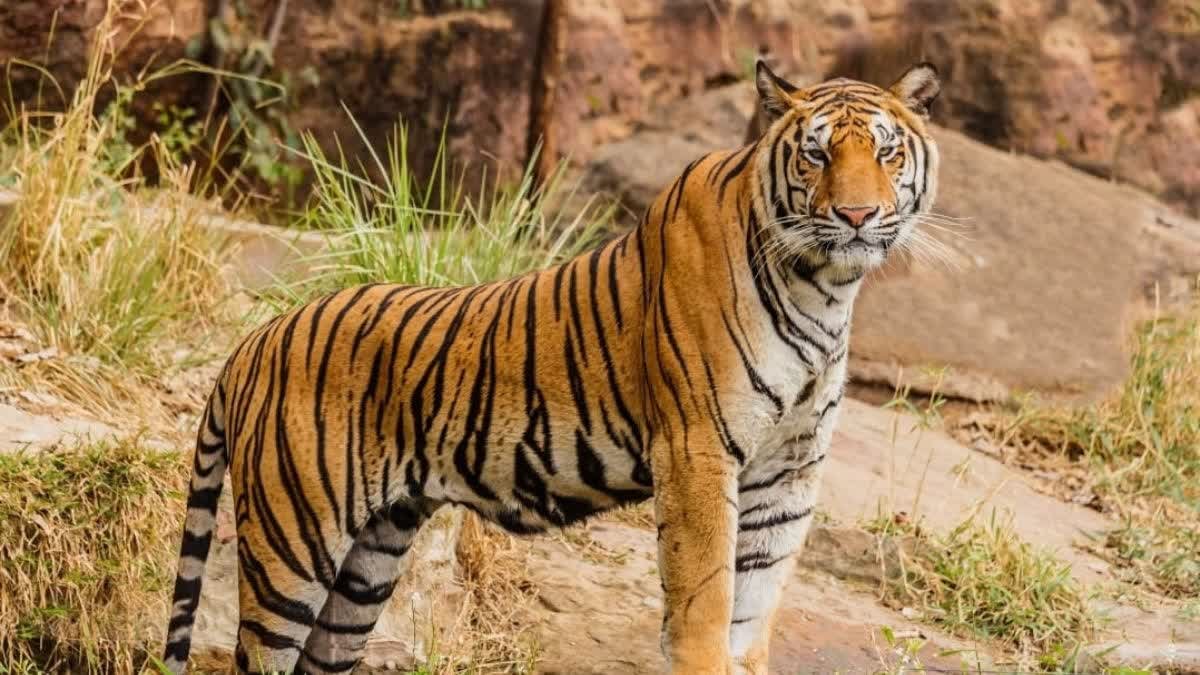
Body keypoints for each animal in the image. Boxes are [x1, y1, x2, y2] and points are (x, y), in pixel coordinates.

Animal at [161, 60, 941, 675]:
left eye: (886, 153)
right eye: (815, 155)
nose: (857, 215)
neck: (825, 288)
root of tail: (253, 342)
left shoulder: (789, 471)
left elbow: (753, 606)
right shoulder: (697, 451)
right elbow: (706, 599)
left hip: (368, 563)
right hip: (293, 546)